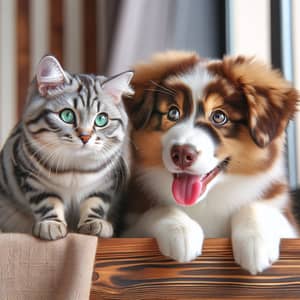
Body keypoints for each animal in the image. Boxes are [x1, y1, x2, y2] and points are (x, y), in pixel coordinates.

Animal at [0, 55, 134, 240]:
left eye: (101, 119)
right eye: (67, 115)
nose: (85, 137)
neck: (74, 168)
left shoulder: (106, 182)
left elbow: (95, 203)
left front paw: (95, 223)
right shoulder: (32, 178)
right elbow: (48, 202)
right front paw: (51, 225)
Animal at [120, 51, 298, 274]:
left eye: (219, 117)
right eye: (173, 113)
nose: (181, 153)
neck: (208, 200)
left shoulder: (289, 225)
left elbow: (257, 206)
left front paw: (256, 240)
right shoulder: (130, 226)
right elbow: (158, 210)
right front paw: (182, 230)